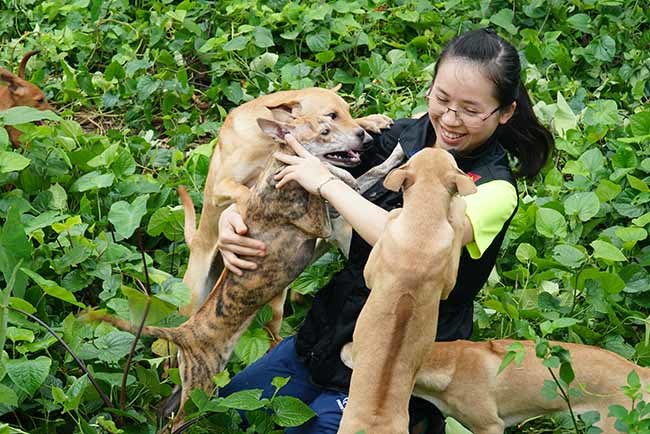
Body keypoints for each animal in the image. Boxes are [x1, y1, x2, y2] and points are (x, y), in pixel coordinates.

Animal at [178, 86, 390, 330]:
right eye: (331, 116)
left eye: (347, 110)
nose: (366, 140)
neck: (265, 140)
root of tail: (194, 242)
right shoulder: (221, 187)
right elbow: (245, 194)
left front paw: (372, 120)